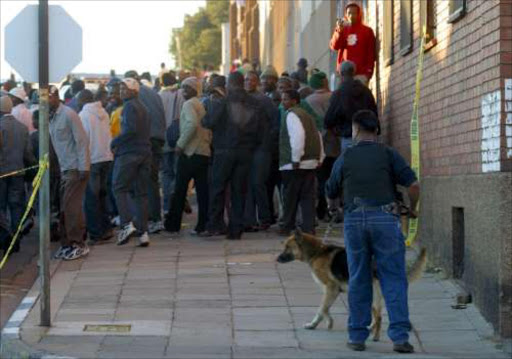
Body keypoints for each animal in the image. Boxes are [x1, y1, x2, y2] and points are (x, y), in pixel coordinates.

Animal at [278, 229, 426, 342]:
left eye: (287, 247)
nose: (276, 259)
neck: (317, 252)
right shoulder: (332, 291)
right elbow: (325, 308)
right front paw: (323, 323)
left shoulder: (331, 289)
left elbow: (322, 309)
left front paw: (321, 323)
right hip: (374, 297)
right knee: (378, 315)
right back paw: (370, 329)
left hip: (370, 295)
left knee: (378, 316)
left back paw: (375, 337)